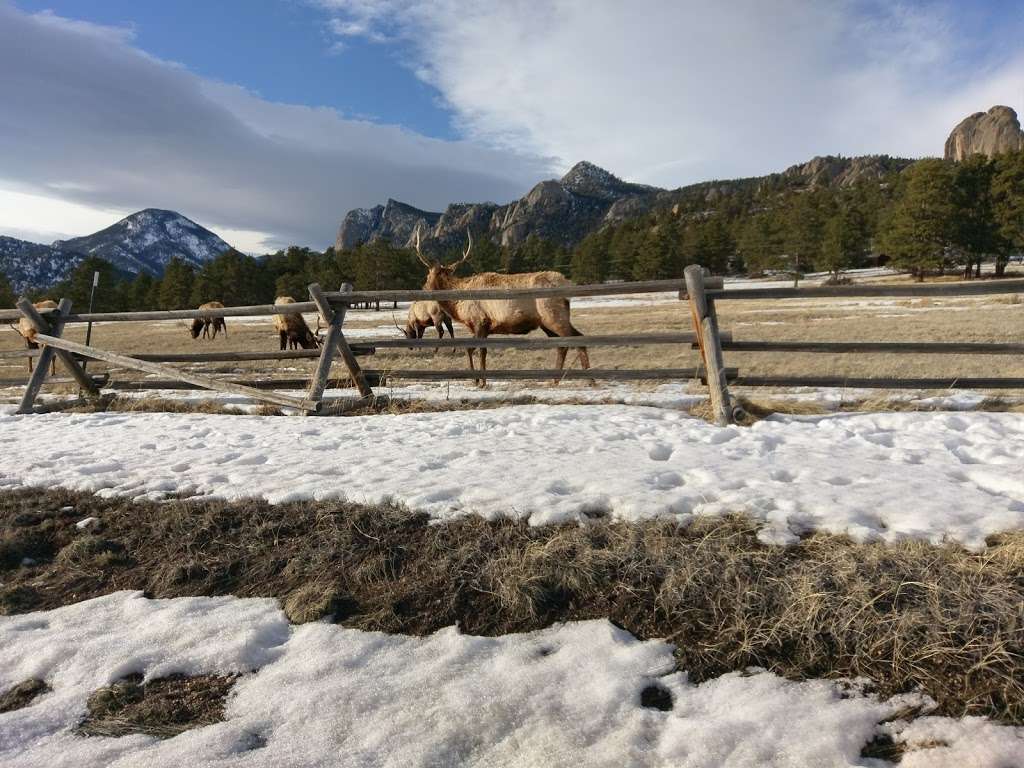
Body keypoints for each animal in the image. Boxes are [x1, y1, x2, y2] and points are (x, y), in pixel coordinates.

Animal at [415, 227, 593, 385]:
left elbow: (476, 350)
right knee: (562, 345)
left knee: (577, 339)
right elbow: (476, 350)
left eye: (427, 275)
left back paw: (590, 380)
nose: (422, 288)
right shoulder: (482, 328)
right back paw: (555, 380)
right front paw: (479, 380)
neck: (458, 306)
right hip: (546, 322)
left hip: (554, 316)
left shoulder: (480, 322)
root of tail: (565, 283)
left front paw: (480, 381)